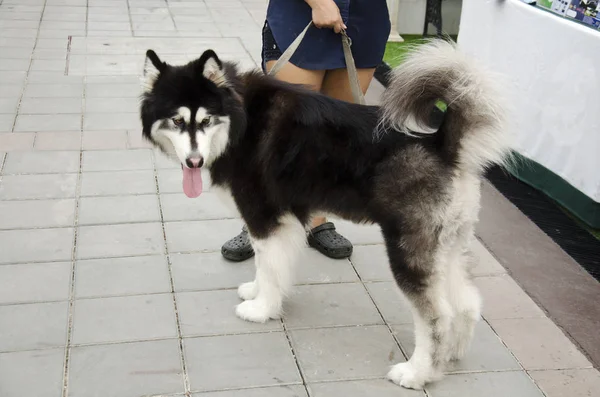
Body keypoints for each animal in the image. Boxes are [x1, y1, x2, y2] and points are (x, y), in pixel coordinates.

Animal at [139, 39, 510, 386]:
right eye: (177, 120)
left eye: (206, 120)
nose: (194, 162)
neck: (239, 118)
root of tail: (441, 145)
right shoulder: (279, 222)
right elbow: (265, 265)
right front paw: (258, 292)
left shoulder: (265, 218)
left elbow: (269, 268)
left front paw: (261, 309)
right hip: (447, 246)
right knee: (466, 303)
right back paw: (453, 353)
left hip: (409, 251)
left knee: (437, 317)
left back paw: (419, 372)